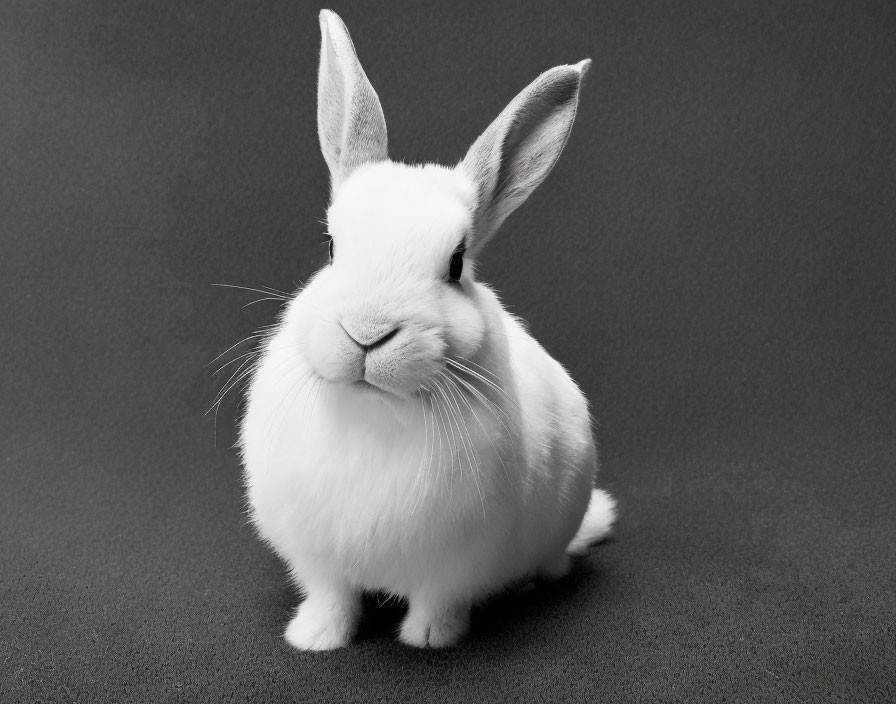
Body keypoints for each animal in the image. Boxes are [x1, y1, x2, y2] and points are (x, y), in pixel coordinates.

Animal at [238, 9, 616, 648]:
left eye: (457, 264)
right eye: (331, 247)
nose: (367, 333)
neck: (374, 409)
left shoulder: (457, 564)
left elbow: (439, 601)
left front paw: (431, 640)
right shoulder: (319, 559)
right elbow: (332, 596)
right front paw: (314, 639)